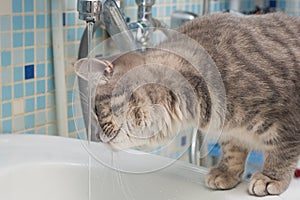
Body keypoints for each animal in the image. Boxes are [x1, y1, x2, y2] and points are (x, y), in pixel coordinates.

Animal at [91, 13, 300, 196]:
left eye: (96, 111)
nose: (97, 137)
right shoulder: (231, 132)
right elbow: (232, 152)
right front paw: (226, 173)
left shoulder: (287, 122)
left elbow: (282, 152)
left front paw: (270, 178)